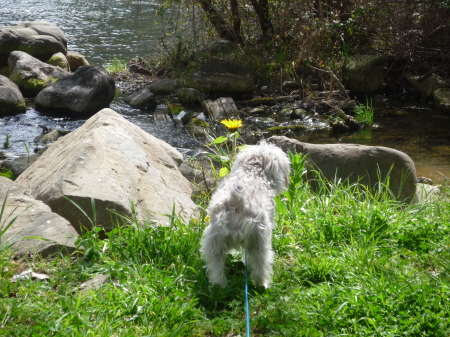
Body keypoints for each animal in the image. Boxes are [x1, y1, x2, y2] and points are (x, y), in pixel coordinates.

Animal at [200, 142, 292, 286]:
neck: (253, 172)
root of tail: (237, 201)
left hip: (213, 242)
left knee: (216, 267)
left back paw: (220, 285)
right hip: (259, 241)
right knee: (260, 266)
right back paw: (262, 284)